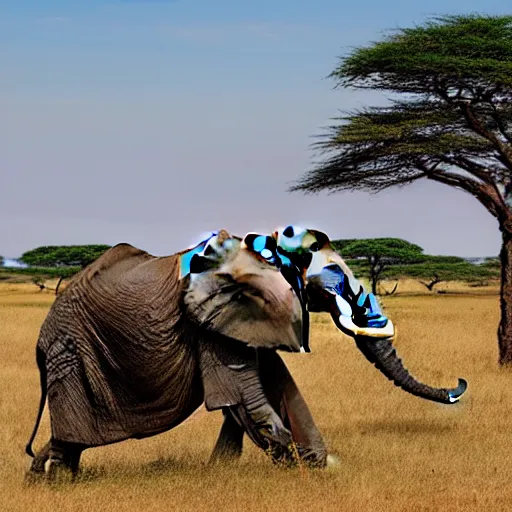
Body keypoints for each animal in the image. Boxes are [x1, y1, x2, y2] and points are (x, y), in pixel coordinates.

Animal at [25, 224, 468, 480]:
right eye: (330, 286)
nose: (460, 385)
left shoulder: (244, 318)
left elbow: (276, 386)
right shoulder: (213, 321)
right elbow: (243, 395)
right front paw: (306, 467)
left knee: (70, 437)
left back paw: (40, 477)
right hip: (70, 348)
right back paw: (58, 483)